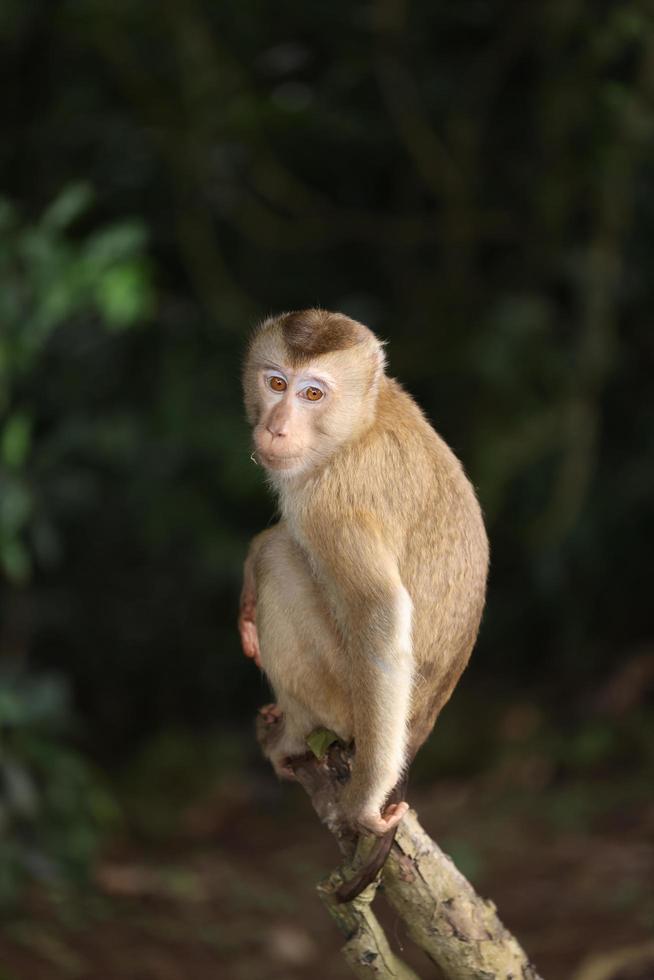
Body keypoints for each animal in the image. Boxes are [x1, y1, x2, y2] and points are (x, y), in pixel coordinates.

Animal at [238, 310, 490, 900]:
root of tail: (420, 730)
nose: (277, 427)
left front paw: (362, 805)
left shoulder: (331, 504)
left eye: (312, 393)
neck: (357, 424)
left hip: (342, 697)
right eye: (276, 383)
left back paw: (293, 735)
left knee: (285, 568)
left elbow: (380, 617)